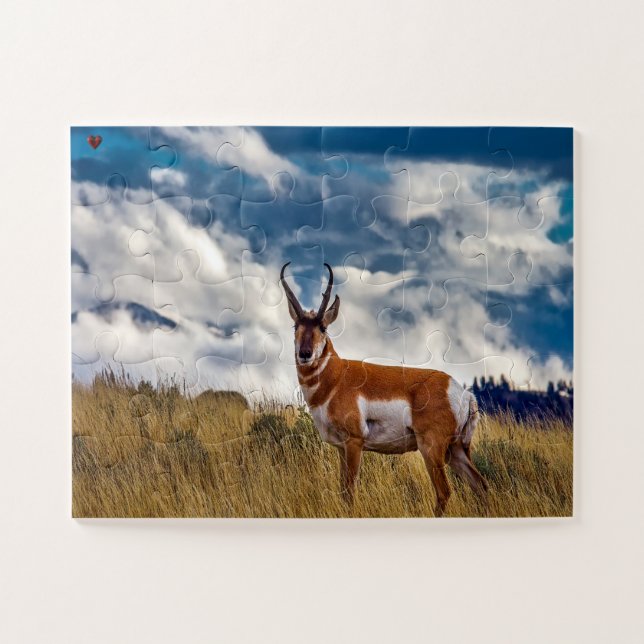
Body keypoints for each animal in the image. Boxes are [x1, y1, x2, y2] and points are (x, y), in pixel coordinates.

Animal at [280, 262, 488, 516]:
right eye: (296, 325)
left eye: (323, 327)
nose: (305, 353)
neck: (337, 377)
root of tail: (462, 392)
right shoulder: (340, 448)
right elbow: (342, 490)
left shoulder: (354, 443)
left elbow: (349, 492)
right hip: (456, 451)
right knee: (480, 485)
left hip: (432, 449)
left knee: (444, 492)